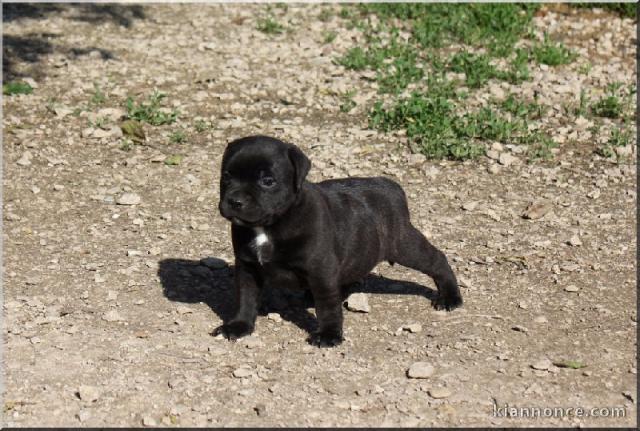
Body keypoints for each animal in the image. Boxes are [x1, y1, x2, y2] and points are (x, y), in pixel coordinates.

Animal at [215, 136, 460, 348]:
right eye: (226, 177)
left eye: (267, 181)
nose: (235, 200)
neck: (268, 226)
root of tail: (391, 185)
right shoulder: (247, 268)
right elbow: (245, 299)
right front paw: (239, 326)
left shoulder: (320, 270)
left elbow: (327, 305)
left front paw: (329, 334)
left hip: (404, 244)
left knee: (437, 259)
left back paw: (450, 297)